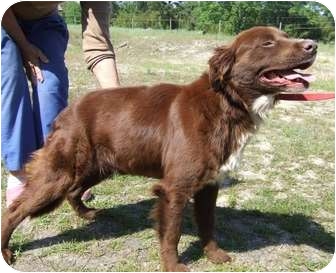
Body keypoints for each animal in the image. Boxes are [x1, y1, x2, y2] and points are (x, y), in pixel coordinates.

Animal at [1, 26, 316, 268]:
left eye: (285, 36)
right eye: (267, 43)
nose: (313, 46)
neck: (225, 104)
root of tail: (67, 111)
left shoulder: (209, 185)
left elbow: (208, 224)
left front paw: (213, 255)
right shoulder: (175, 188)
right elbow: (171, 233)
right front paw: (173, 266)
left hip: (97, 167)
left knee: (74, 191)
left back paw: (87, 214)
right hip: (61, 173)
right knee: (15, 210)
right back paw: (6, 251)